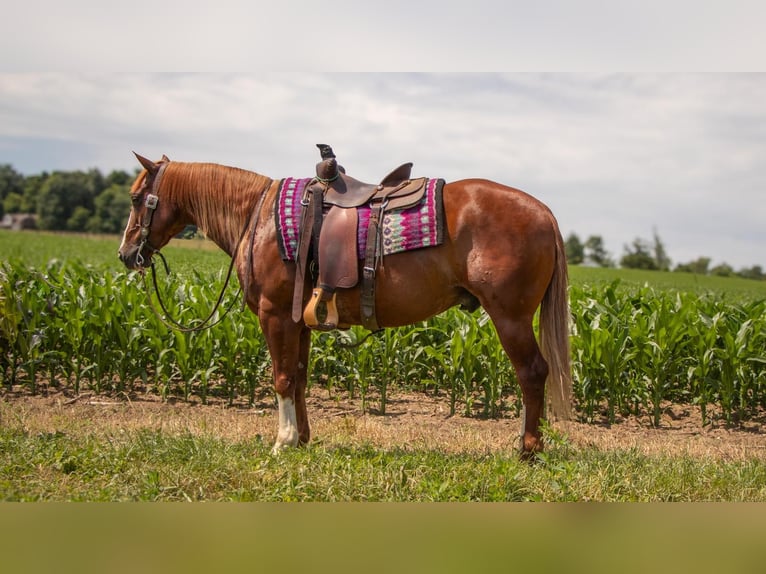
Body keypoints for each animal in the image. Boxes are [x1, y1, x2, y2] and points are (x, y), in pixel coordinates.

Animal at [120, 152, 572, 460]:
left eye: (138, 198)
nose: (126, 255)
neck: (258, 218)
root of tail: (545, 212)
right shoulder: (296, 321)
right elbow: (299, 378)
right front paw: (302, 439)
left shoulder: (274, 315)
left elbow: (281, 378)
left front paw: (283, 442)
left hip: (510, 317)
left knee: (533, 373)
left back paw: (528, 449)